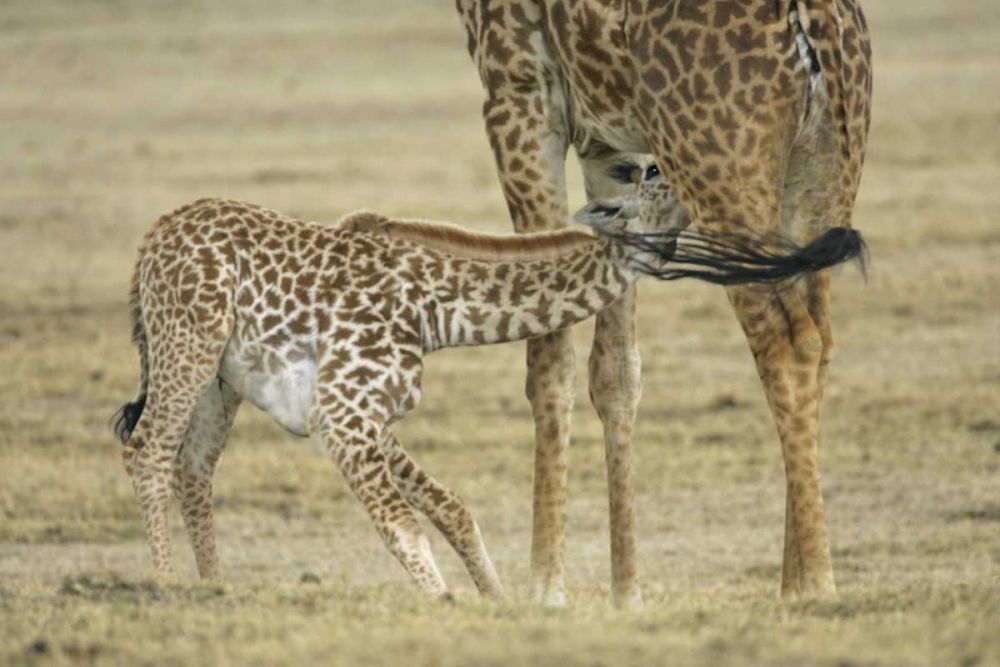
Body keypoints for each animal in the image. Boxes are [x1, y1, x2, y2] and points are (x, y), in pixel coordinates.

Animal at [112, 186, 862, 597]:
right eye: (649, 171)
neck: (439, 310)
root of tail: (151, 237)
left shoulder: (362, 414)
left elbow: (452, 508)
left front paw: (498, 605)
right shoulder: (344, 411)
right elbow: (405, 530)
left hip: (220, 378)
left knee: (193, 466)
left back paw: (215, 588)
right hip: (188, 340)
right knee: (149, 451)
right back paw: (167, 587)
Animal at [456, 0, 872, 605]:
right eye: (647, 171)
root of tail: (817, 18)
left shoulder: (518, 86)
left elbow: (547, 355)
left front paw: (545, 589)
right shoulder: (605, 139)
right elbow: (615, 369)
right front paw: (626, 594)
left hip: (722, 172)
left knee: (786, 343)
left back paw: (818, 584)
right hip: (828, 172)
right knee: (821, 340)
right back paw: (792, 584)